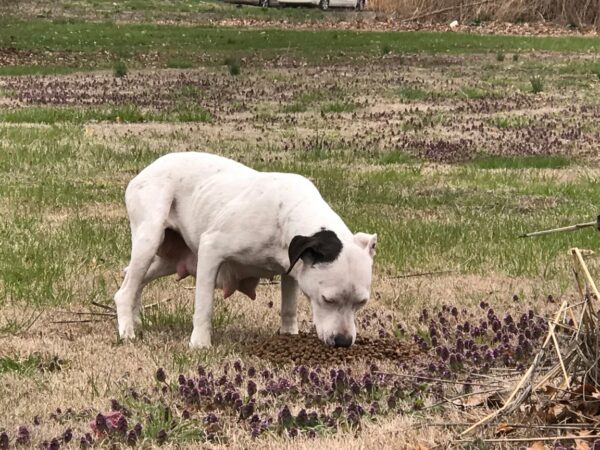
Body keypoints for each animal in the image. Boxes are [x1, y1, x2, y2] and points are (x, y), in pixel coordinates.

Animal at [113, 151, 376, 348]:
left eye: (361, 302)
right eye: (327, 300)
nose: (343, 341)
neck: (287, 213)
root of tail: (145, 171)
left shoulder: (293, 269)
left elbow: (288, 307)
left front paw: (289, 335)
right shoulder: (211, 250)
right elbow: (204, 306)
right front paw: (200, 344)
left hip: (169, 261)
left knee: (134, 281)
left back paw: (135, 319)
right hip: (149, 240)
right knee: (125, 290)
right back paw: (127, 330)